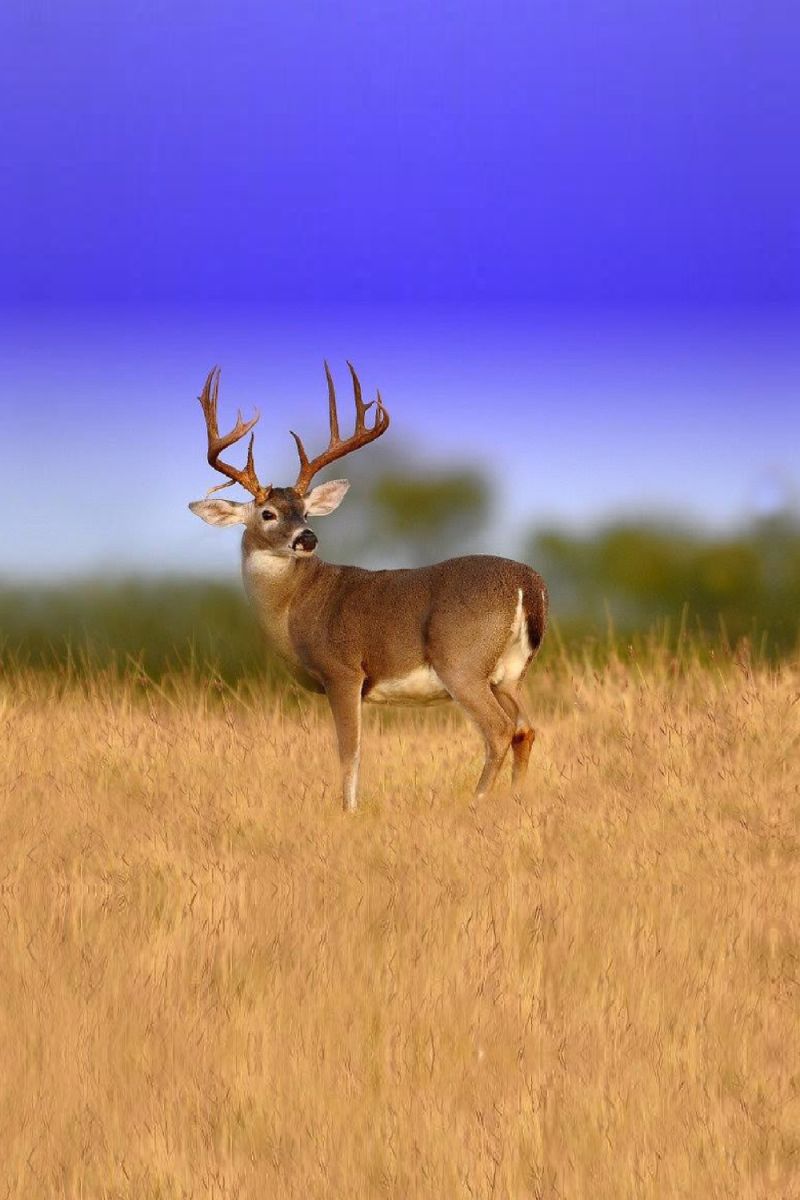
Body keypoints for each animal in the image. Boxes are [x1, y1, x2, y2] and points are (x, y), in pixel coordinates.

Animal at [189, 362, 548, 811]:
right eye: (268, 513)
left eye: (305, 511)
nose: (307, 538)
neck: (294, 607)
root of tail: (527, 584)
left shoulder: (342, 671)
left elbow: (349, 752)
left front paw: (348, 811)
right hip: (511, 673)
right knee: (526, 729)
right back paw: (516, 798)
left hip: (462, 663)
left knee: (500, 730)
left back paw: (476, 801)